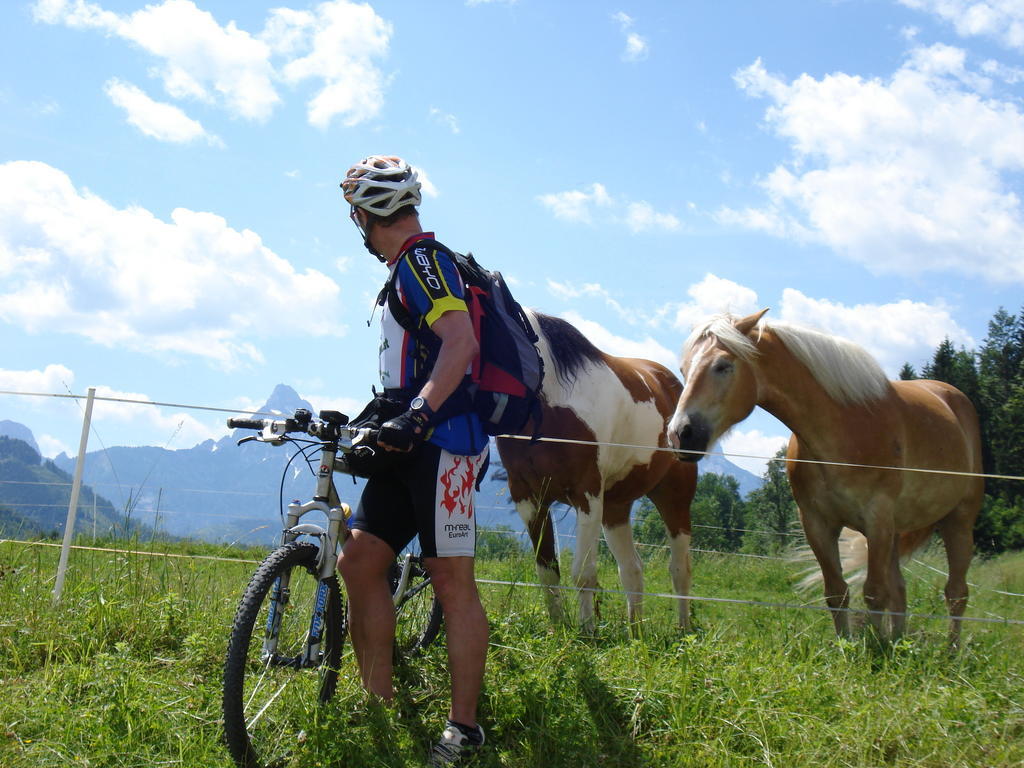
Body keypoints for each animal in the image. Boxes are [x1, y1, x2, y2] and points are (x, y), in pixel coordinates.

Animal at [495, 311, 696, 630]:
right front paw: (558, 629)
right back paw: (635, 632)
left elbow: (583, 573)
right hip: (616, 508)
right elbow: (547, 571)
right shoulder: (528, 498)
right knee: (632, 569)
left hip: (674, 498)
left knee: (679, 569)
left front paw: (587, 631)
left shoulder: (586, 495)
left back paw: (683, 630)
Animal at [667, 309, 978, 638]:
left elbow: (874, 592)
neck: (843, 430)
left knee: (956, 593)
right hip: (896, 532)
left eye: (722, 366)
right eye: (684, 369)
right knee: (901, 590)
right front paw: (848, 645)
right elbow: (837, 592)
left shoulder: (877, 519)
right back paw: (898, 640)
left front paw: (876, 648)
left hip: (958, 520)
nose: (680, 434)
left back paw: (951, 647)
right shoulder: (817, 523)